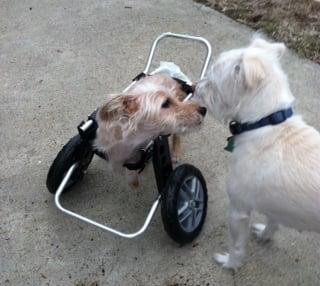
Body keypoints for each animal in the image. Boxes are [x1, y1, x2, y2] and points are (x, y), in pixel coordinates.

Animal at [194, 36, 320, 270]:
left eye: (213, 80)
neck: (266, 123)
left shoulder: (238, 210)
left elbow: (236, 246)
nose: (193, 86)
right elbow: (272, 222)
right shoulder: (276, 204)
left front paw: (230, 263)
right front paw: (264, 235)